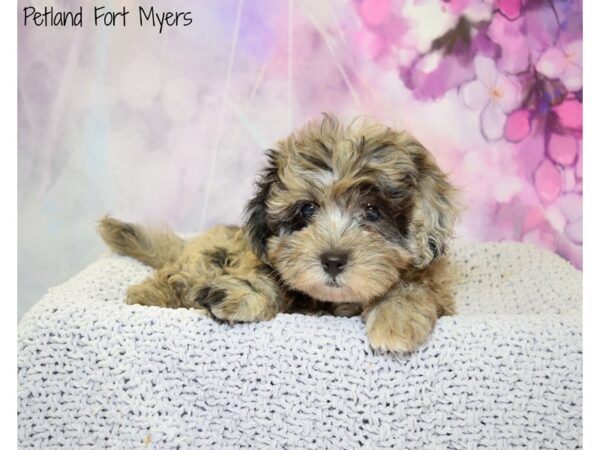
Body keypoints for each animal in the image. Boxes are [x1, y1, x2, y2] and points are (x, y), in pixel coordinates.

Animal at [98, 114, 460, 354]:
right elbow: (266, 276)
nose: (332, 260)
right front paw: (240, 293)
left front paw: (395, 316)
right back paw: (149, 295)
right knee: (176, 277)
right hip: (204, 260)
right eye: (307, 210)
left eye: (372, 211)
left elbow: (414, 286)